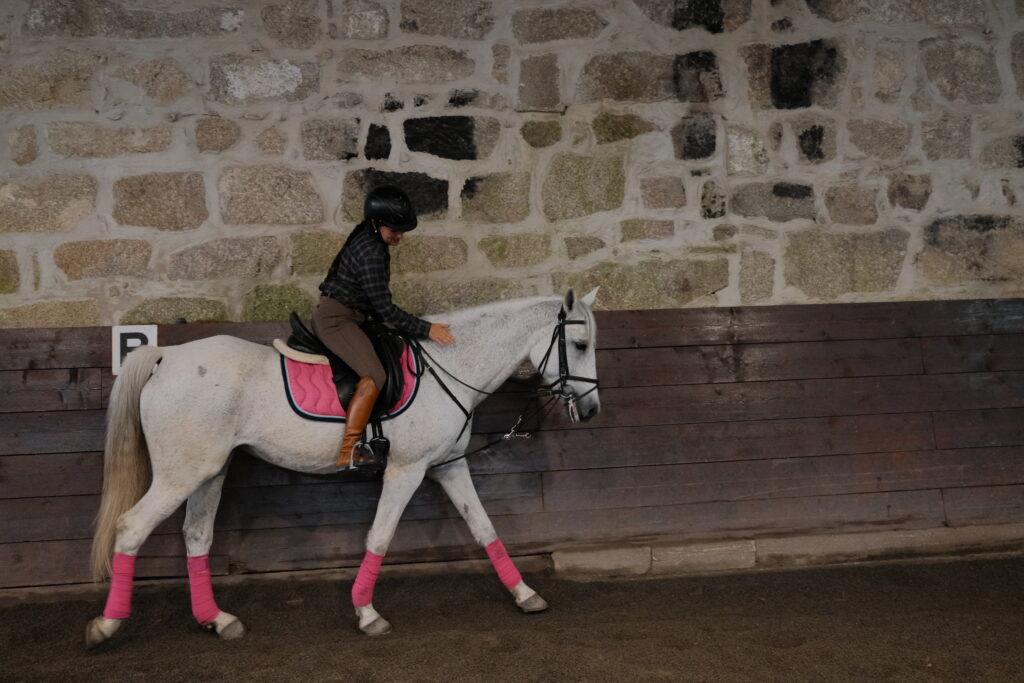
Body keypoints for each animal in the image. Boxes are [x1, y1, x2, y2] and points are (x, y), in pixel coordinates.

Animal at [85, 288, 601, 648]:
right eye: (578, 344)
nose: (592, 410)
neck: (450, 367)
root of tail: (168, 355)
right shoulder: (407, 469)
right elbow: (380, 536)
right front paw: (368, 614)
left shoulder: (446, 468)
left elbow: (485, 528)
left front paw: (525, 595)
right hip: (182, 474)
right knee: (131, 528)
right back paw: (107, 625)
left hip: (210, 471)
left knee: (196, 536)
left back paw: (218, 619)